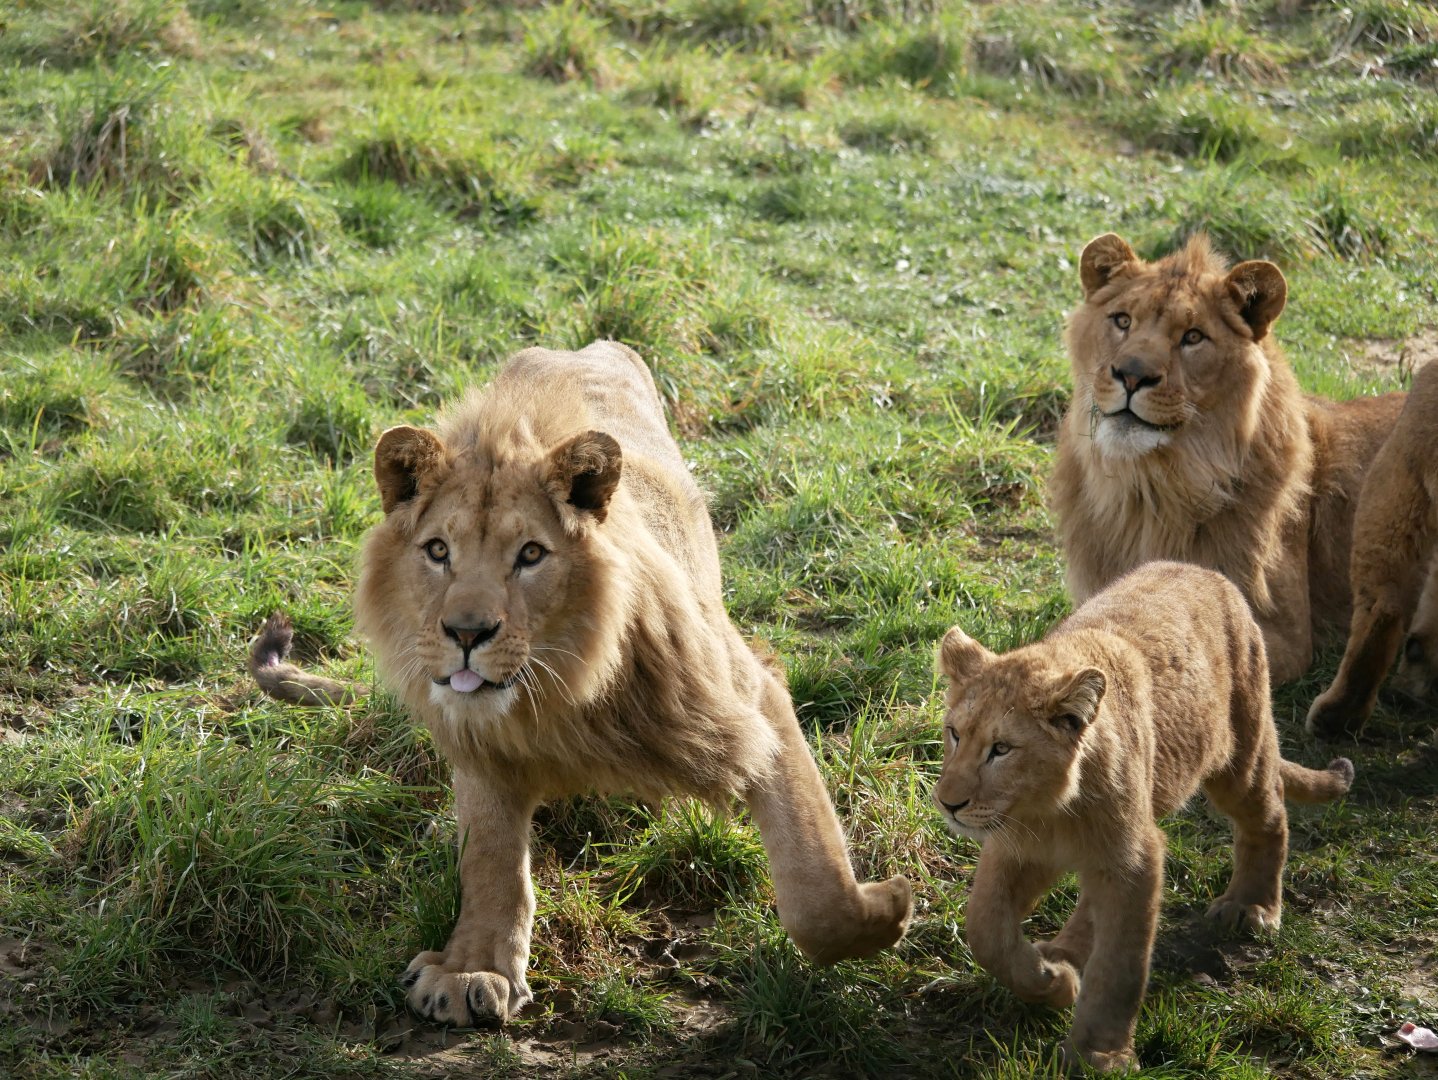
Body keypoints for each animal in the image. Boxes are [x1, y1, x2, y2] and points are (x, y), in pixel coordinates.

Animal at [250, 340, 912, 1026]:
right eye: (437, 551)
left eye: (531, 554)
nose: (466, 633)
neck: (557, 694)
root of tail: (583, 346)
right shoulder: (480, 743)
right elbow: (489, 856)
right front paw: (473, 969)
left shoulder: (753, 701)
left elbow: (815, 890)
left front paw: (890, 906)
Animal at [932, 561, 1354, 1073]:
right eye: (954, 734)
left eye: (1001, 749)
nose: (948, 802)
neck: (1047, 810)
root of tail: (1203, 570)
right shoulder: (1016, 848)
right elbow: (986, 930)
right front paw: (1051, 979)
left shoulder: (1135, 856)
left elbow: (1121, 963)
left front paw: (1100, 1053)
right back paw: (1062, 953)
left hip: (1242, 752)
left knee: (1269, 815)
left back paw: (1251, 907)